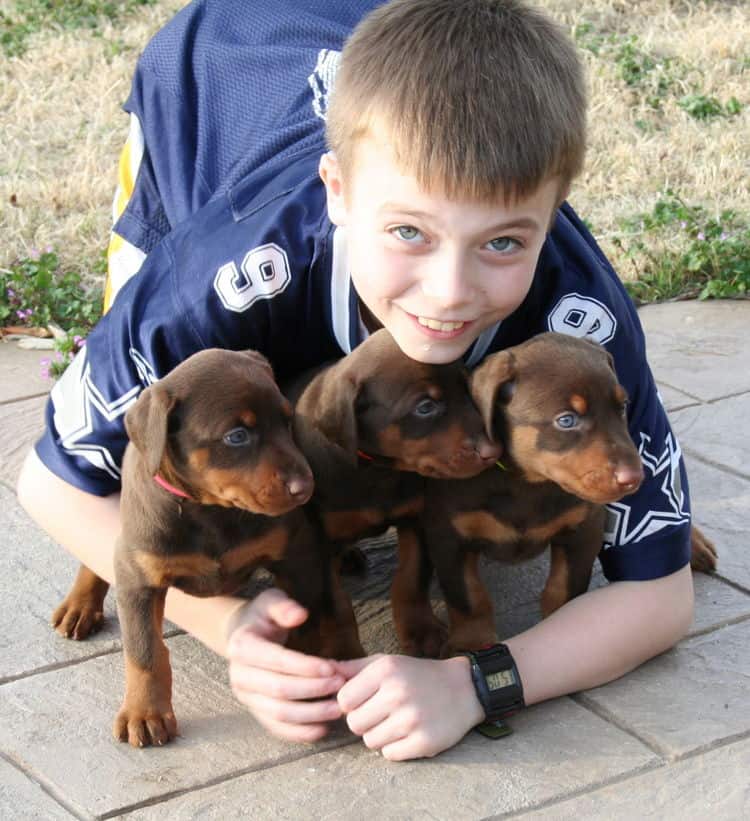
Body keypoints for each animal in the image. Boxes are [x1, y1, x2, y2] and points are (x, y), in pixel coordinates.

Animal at [53, 350, 364, 748]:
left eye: (286, 420)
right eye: (237, 436)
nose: (304, 486)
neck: (211, 511)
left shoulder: (298, 556)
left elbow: (311, 621)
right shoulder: (139, 578)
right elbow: (144, 650)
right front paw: (145, 713)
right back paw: (79, 605)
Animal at [290, 330, 502, 656]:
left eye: (467, 390)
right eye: (425, 407)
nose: (492, 451)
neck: (379, 470)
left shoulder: (418, 518)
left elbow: (411, 578)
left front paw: (421, 631)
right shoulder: (317, 541)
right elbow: (336, 607)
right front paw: (344, 655)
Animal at [420, 334, 644, 652]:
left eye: (622, 406)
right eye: (566, 420)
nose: (634, 478)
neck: (526, 483)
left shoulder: (584, 529)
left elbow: (563, 590)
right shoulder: (447, 535)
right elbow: (468, 597)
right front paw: (471, 644)